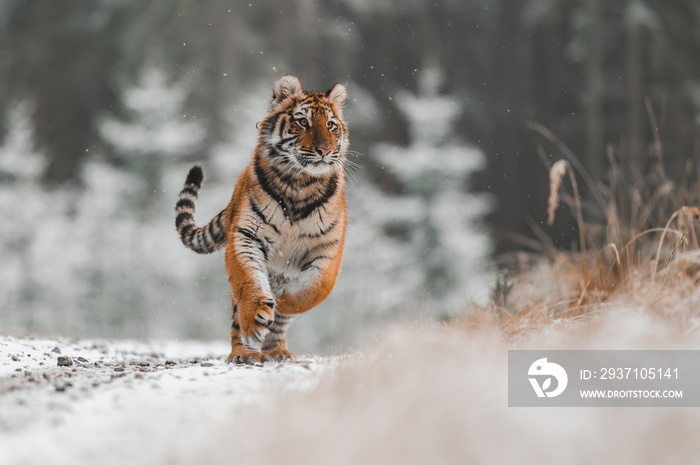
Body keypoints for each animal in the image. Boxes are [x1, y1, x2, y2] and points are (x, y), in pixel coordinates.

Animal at [175, 75, 350, 362]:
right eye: (303, 122)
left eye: (331, 125)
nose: (325, 150)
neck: (300, 184)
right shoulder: (247, 236)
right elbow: (250, 282)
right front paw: (257, 317)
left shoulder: (328, 247)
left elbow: (315, 289)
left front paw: (284, 302)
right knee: (238, 316)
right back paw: (244, 352)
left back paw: (277, 350)